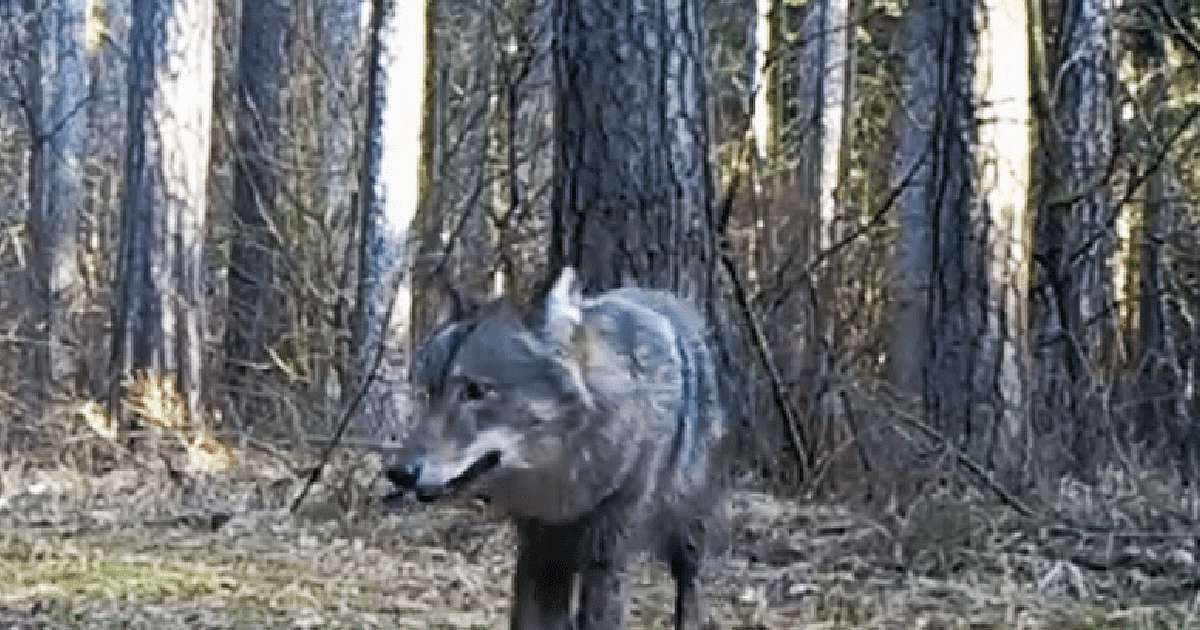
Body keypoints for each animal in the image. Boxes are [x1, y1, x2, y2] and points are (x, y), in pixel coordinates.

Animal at [384, 267, 730, 629]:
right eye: (426, 392)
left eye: (475, 391)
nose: (398, 472)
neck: (564, 485)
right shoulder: (538, 554)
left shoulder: (607, 561)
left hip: (689, 531)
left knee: (691, 585)